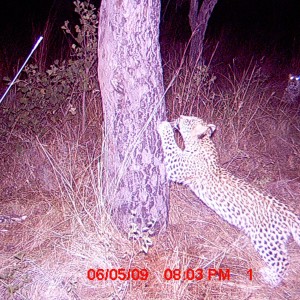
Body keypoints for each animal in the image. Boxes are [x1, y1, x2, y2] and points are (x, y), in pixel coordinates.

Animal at [157, 115, 300, 286]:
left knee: (282, 261)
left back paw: (271, 279)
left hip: (266, 240)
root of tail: (288, 212)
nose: (180, 116)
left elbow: (171, 146)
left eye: (189, 120)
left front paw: (163, 126)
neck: (202, 144)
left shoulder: (177, 167)